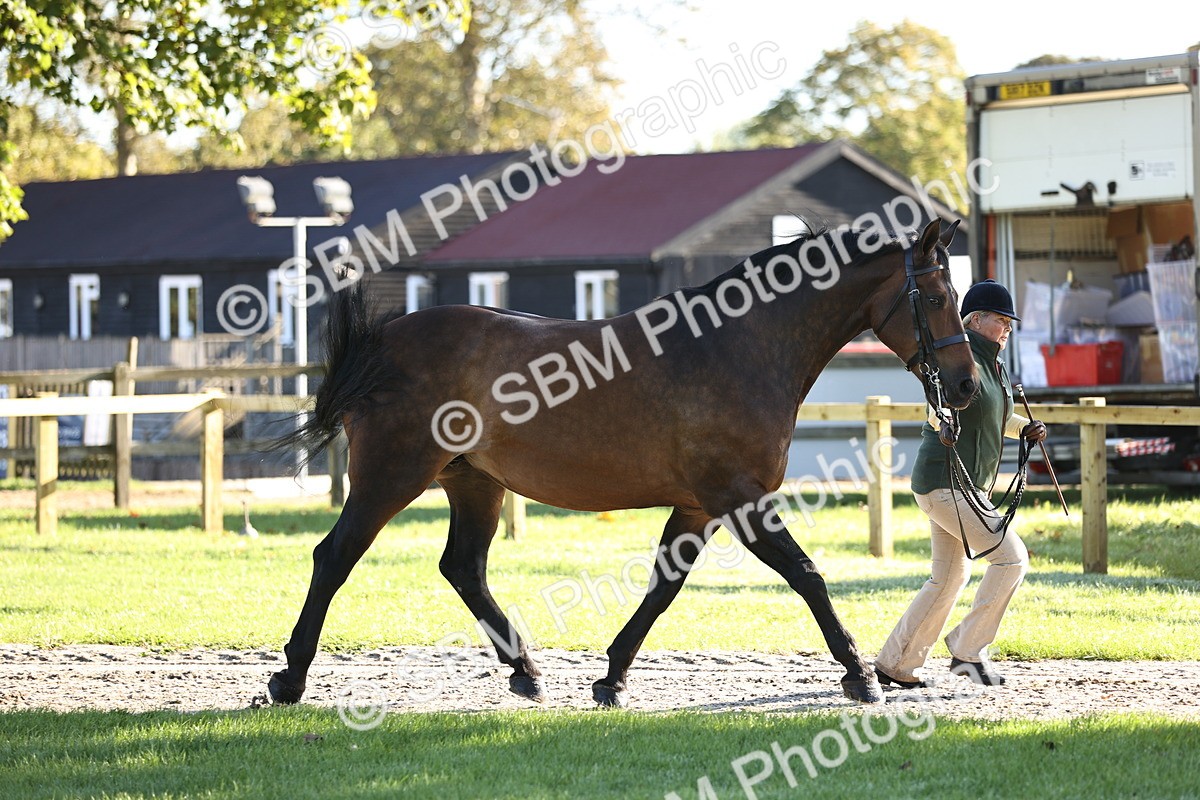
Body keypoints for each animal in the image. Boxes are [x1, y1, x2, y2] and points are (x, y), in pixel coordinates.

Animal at [266, 217, 978, 708]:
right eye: (936, 296)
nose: (968, 384)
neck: (738, 347)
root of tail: (383, 341)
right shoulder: (739, 498)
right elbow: (807, 576)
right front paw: (859, 675)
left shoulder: (697, 507)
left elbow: (663, 588)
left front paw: (611, 678)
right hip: (392, 476)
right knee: (335, 556)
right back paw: (290, 678)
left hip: (473, 483)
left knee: (462, 568)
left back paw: (527, 672)